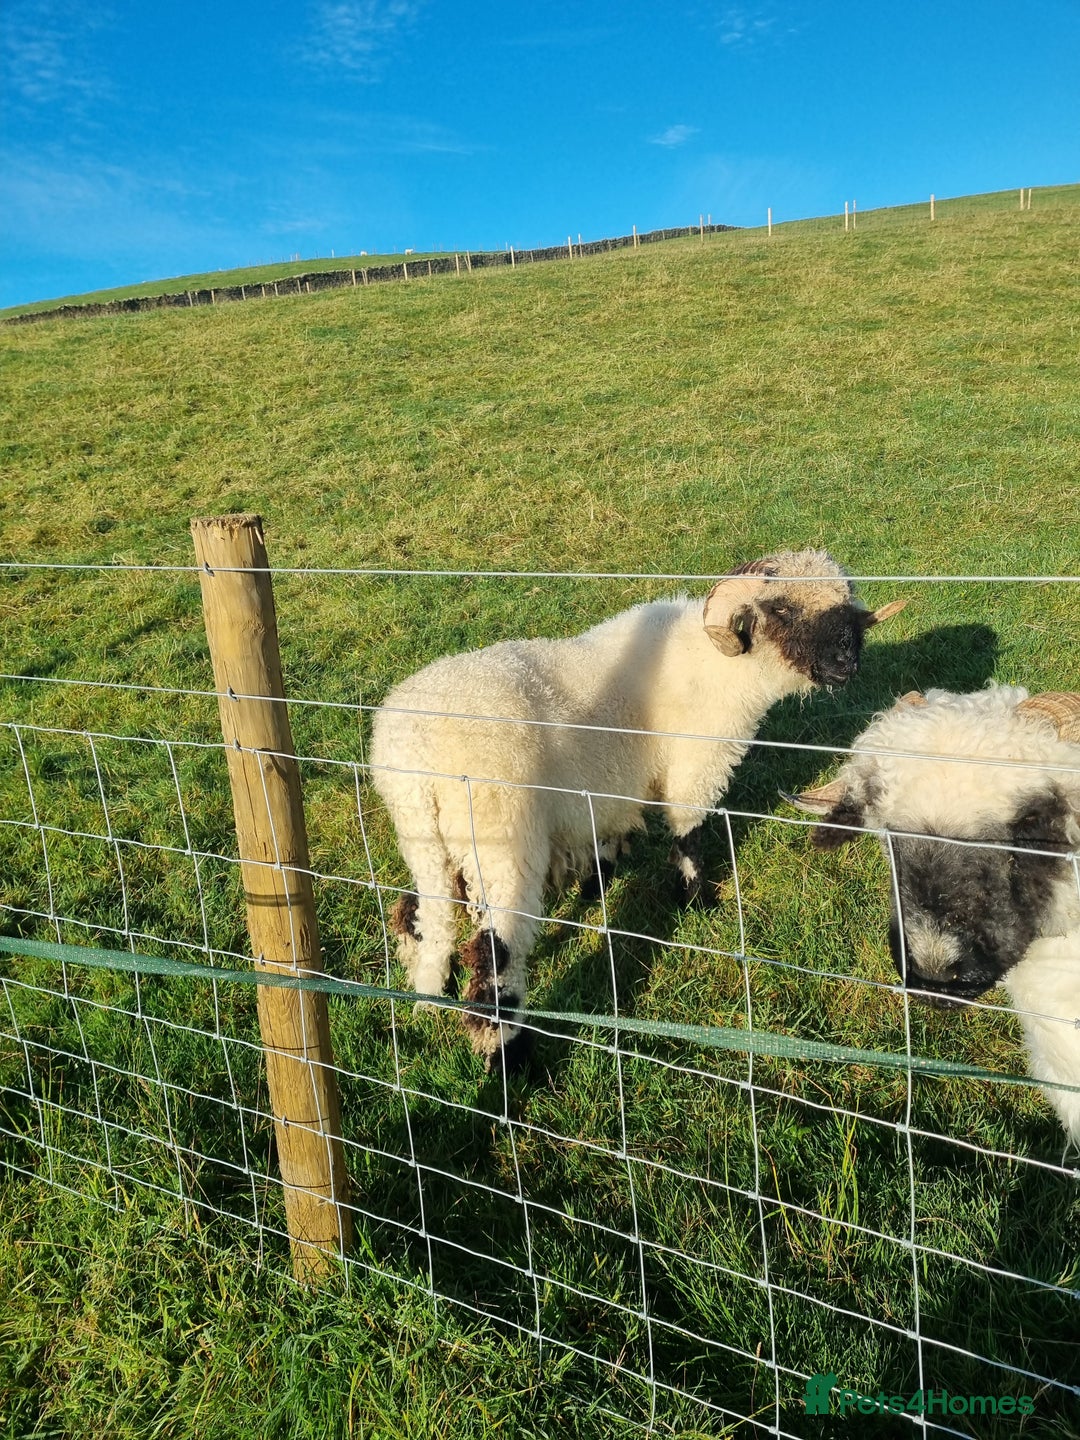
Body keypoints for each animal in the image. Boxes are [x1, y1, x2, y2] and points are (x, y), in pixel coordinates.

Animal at [370, 549, 906, 1073]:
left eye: (845, 610)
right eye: (782, 610)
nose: (846, 662)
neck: (716, 667)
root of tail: (413, 756)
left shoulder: (607, 789)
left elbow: (606, 836)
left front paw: (598, 883)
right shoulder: (694, 770)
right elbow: (688, 836)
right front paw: (696, 900)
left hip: (430, 842)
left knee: (427, 912)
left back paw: (428, 987)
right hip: (500, 839)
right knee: (493, 956)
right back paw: (510, 1061)